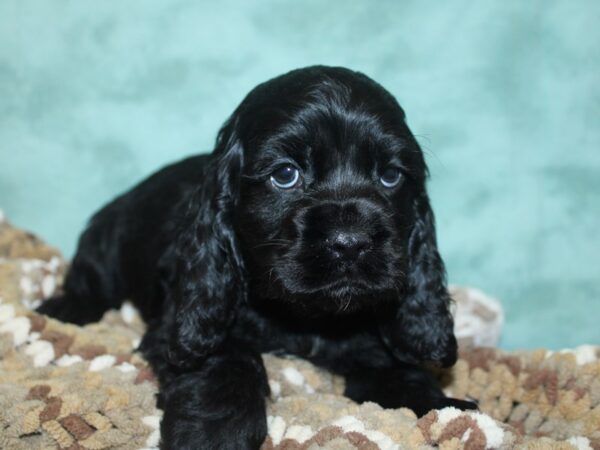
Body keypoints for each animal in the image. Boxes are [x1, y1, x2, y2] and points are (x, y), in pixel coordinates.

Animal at [39, 67, 476, 450]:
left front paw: (445, 408)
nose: (351, 242)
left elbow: (396, 368)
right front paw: (212, 433)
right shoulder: (187, 320)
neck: (305, 318)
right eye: (285, 174)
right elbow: (226, 359)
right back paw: (65, 308)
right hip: (105, 244)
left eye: (390, 176)